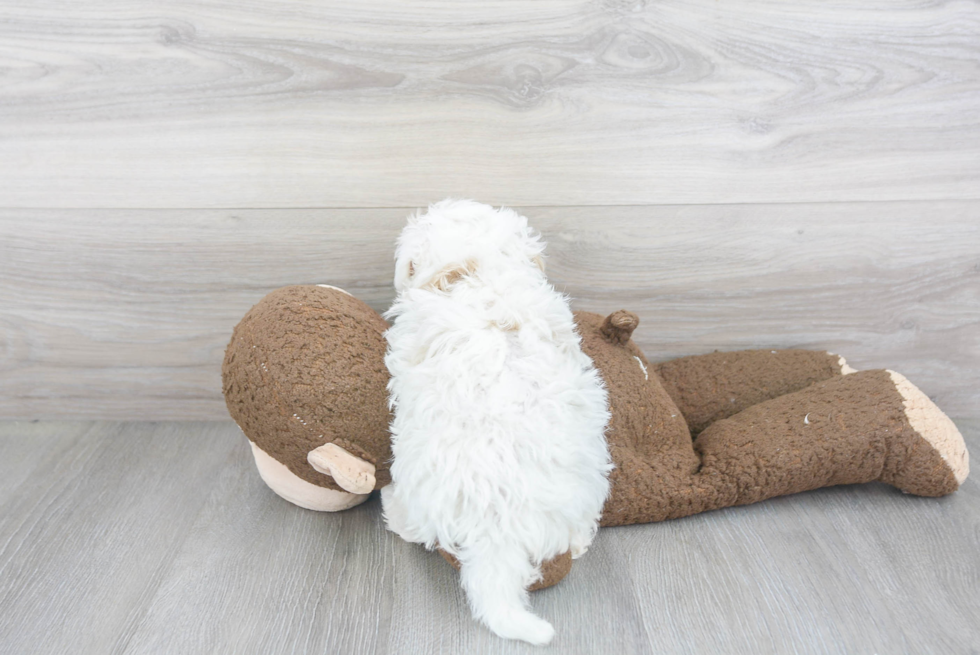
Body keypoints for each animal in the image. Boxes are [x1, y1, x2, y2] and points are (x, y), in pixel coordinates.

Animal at [380, 199, 612, 644]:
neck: (479, 266)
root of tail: (499, 526)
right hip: (590, 477)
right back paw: (578, 544)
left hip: (416, 476)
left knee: (415, 528)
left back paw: (388, 503)